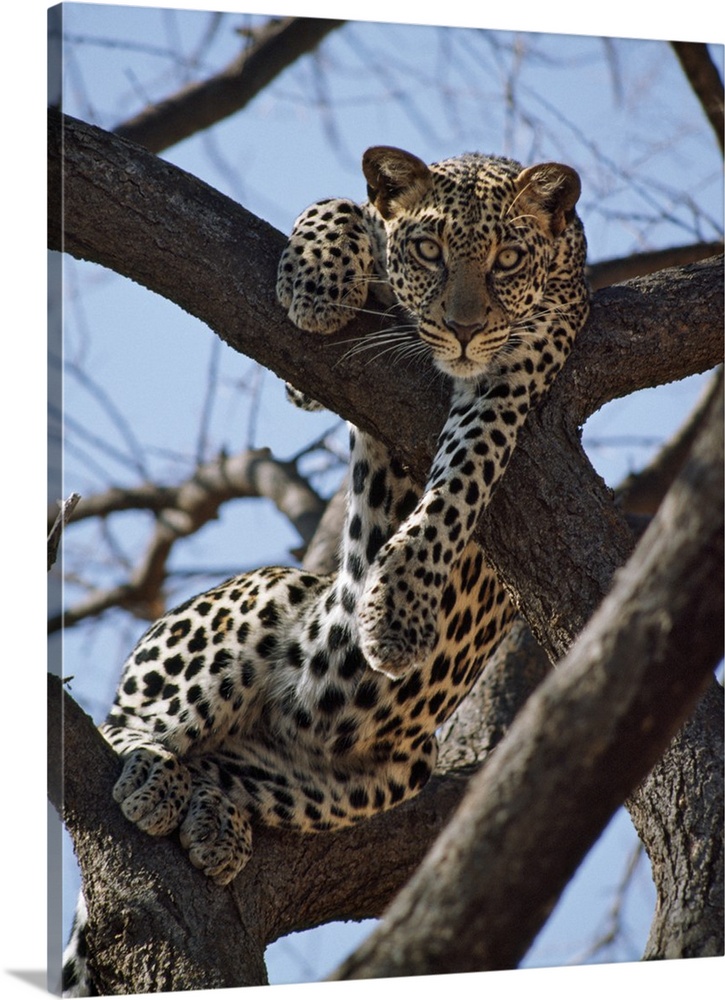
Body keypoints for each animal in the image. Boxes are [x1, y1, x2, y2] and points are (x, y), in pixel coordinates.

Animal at [62, 145, 588, 996]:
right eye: (427, 250)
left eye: (508, 259)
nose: (463, 328)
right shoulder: (317, 374)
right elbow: (338, 204)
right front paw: (316, 282)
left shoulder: (522, 363)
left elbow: (462, 475)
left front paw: (398, 611)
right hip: (262, 598)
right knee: (126, 723)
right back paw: (153, 773)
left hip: (388, 770)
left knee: (229, 765)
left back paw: (209, 816)